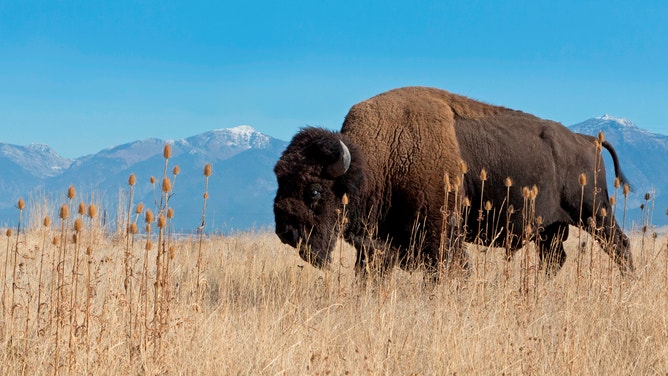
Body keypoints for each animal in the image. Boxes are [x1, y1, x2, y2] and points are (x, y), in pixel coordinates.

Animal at [272, 86, 632, 278]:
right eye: (280, 182)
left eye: (314, 190)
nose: (286, 232)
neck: (381, 155)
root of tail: (588, 140)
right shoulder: (377, 244)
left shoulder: (442, 233)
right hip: (552, 229)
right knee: (554, 260)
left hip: (595, 214)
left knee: (620, 246)